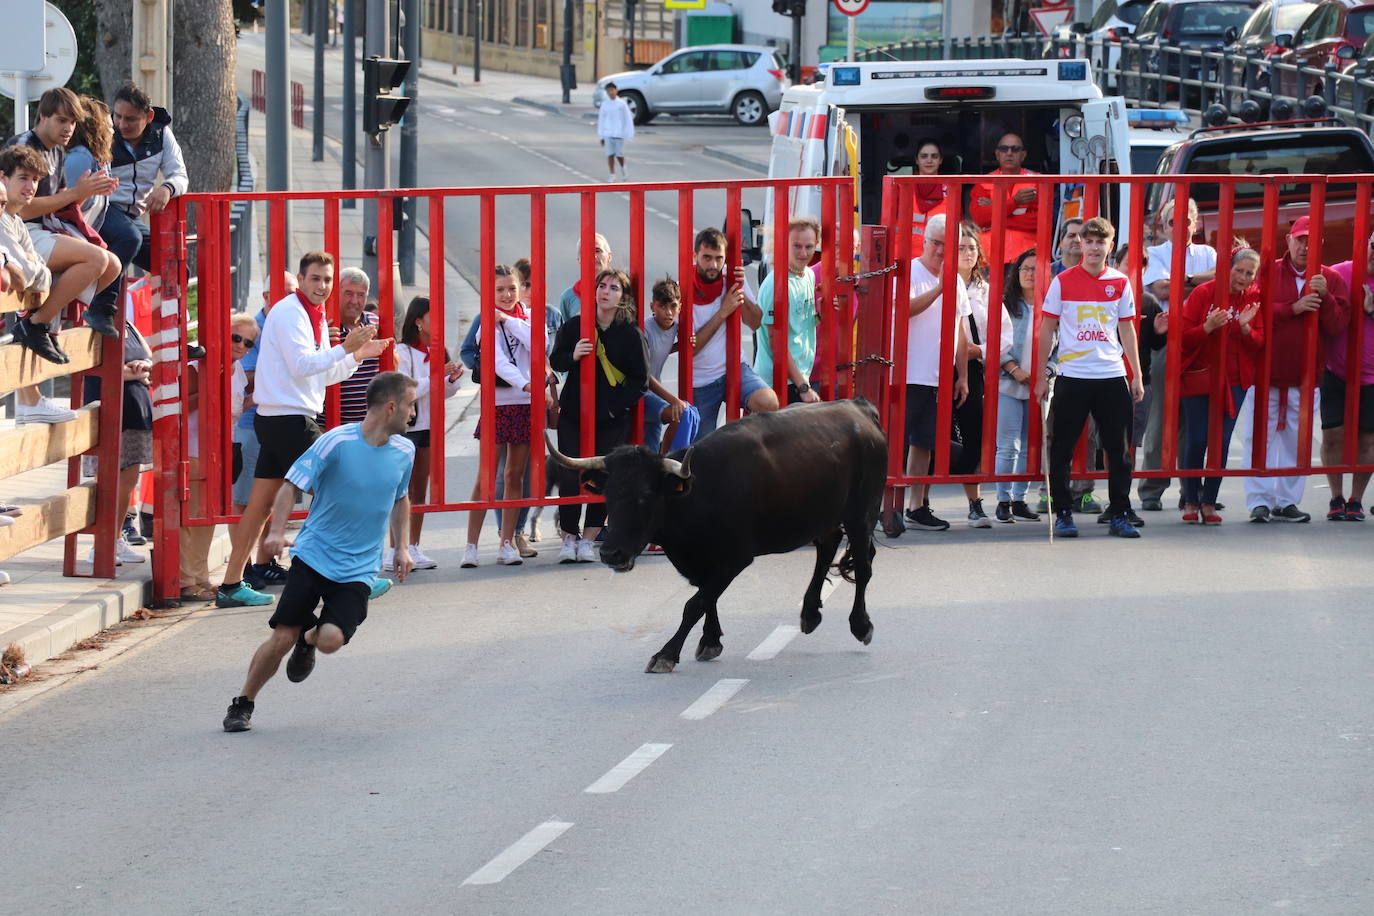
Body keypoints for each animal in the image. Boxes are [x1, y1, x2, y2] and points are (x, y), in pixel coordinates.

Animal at [546, 398, 890, 672]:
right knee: (827, 547)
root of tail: (859, 407)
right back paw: (809, 613)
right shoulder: (702, 562)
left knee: (863, 565)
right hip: (825, 515)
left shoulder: (734, 559)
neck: (696, 494)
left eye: (644, 497)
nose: (610, 554)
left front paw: (666, 654)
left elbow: (695, 603)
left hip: (862, 514)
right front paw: (711, 639)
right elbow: (706, 596)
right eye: (608, 496)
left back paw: (861, 625)